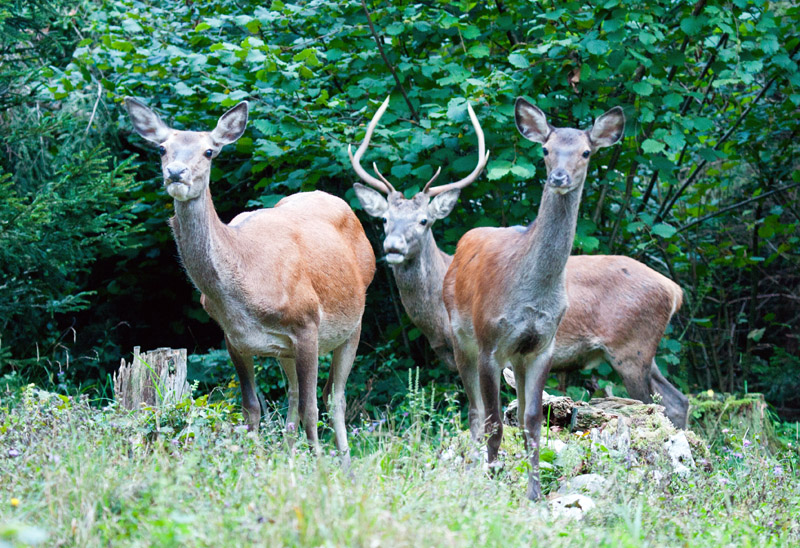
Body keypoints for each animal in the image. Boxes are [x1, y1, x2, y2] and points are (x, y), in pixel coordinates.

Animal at [125, 96, 376, 464]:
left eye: (209, 151)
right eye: (161, 148)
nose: (176, 172)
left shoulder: (307, 323)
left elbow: (312, 408)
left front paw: (318, 465)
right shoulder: (235, 339)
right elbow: (251, 408)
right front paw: (253, 461)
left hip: (353, 323)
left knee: (334, 396)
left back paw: (343, 460)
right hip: (286, 351)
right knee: (293, 395)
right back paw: (289, 454)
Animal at [348, 99, 688, 432]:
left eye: (423, 221)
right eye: (385, 219)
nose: (393, 247)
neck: (434, 316)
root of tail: (675, 291)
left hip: (631, 346)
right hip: (645, 350)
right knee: (677, 399)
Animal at [444, 96, 624, 498]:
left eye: (586, 152)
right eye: (545, 149)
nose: (559, 177)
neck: (533, 296)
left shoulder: (543, 345)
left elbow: (532, 423)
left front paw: (535, 493)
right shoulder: (490, 343)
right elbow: (495, 421)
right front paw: (492, 479)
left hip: (517, 357)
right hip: (459, 335)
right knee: (474, 412)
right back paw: (473, 471)